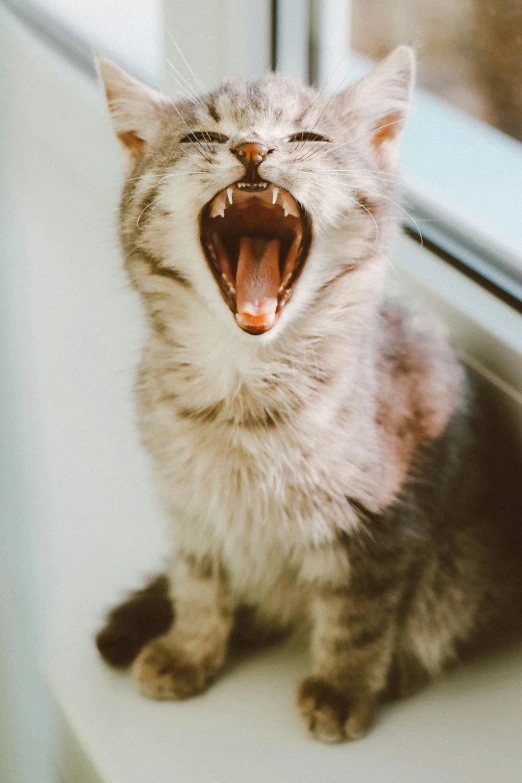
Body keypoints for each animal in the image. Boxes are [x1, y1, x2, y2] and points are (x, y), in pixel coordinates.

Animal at [94, 46, 520, 744]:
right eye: (203, 135)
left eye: (306, 138)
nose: (251, 148)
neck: (241, 398)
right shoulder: (192, 513)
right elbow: (198, 586)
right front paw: (190, 647)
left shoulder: (377, 526)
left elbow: (358, 620)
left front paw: (342, 687)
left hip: (464, 568)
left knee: (431, 619)